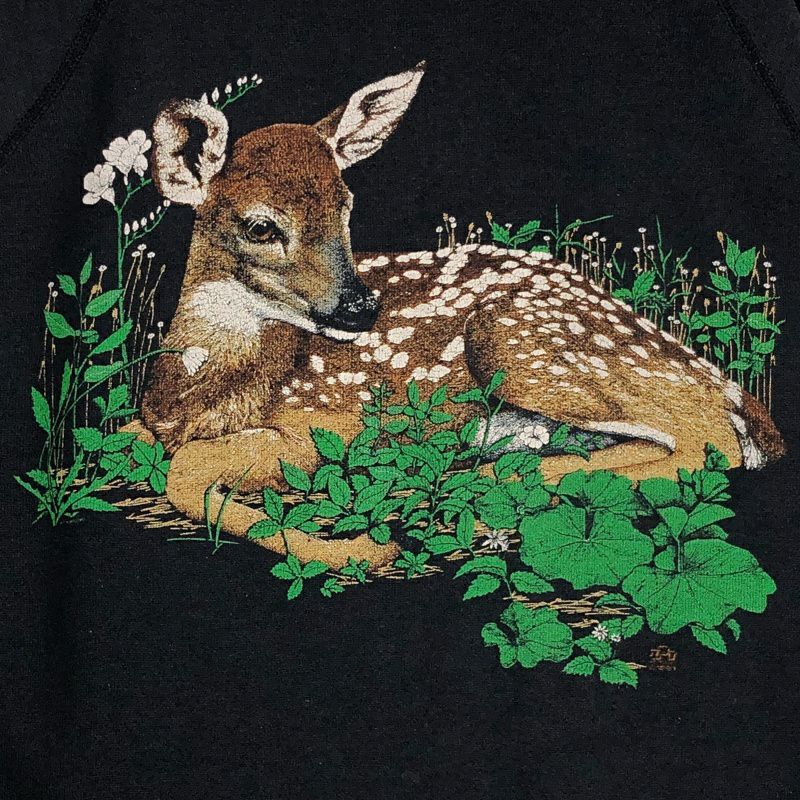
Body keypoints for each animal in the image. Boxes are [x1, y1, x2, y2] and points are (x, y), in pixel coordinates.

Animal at [133, 61, 784, 570]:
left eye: (346, 205)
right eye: (261, 226)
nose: (360, 305)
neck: (200, 394)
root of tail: (722, 379)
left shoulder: (322, 429)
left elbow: (185, 471)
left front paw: (360, 550)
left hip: (521, 344)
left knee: (710, 443)